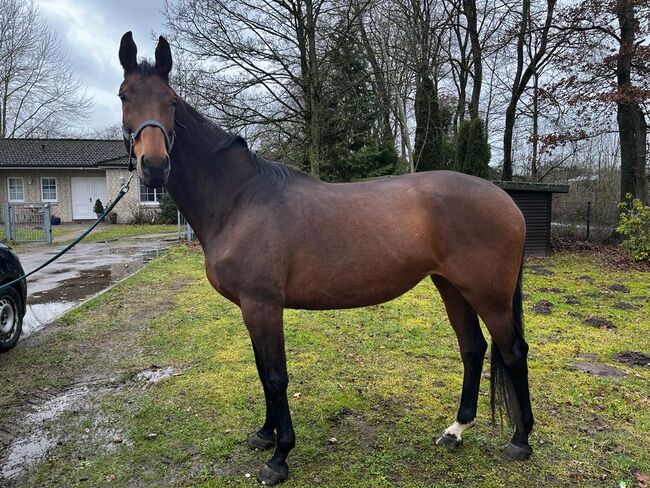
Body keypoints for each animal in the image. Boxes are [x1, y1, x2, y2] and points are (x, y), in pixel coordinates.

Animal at [117, 33, 532, 484]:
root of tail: (507, 200)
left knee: (513, 351)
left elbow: (276, 377)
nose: (154, 167)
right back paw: (455, 431)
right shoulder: (251, 308)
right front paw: (264, 435)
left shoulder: (263, 305)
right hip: (451, 286)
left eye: (171, 101)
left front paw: (279, 457)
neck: (239, 199)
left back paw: (520, 440)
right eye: (124, 96)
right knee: (473, 348)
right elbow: (262, 372)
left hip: (488, 294)